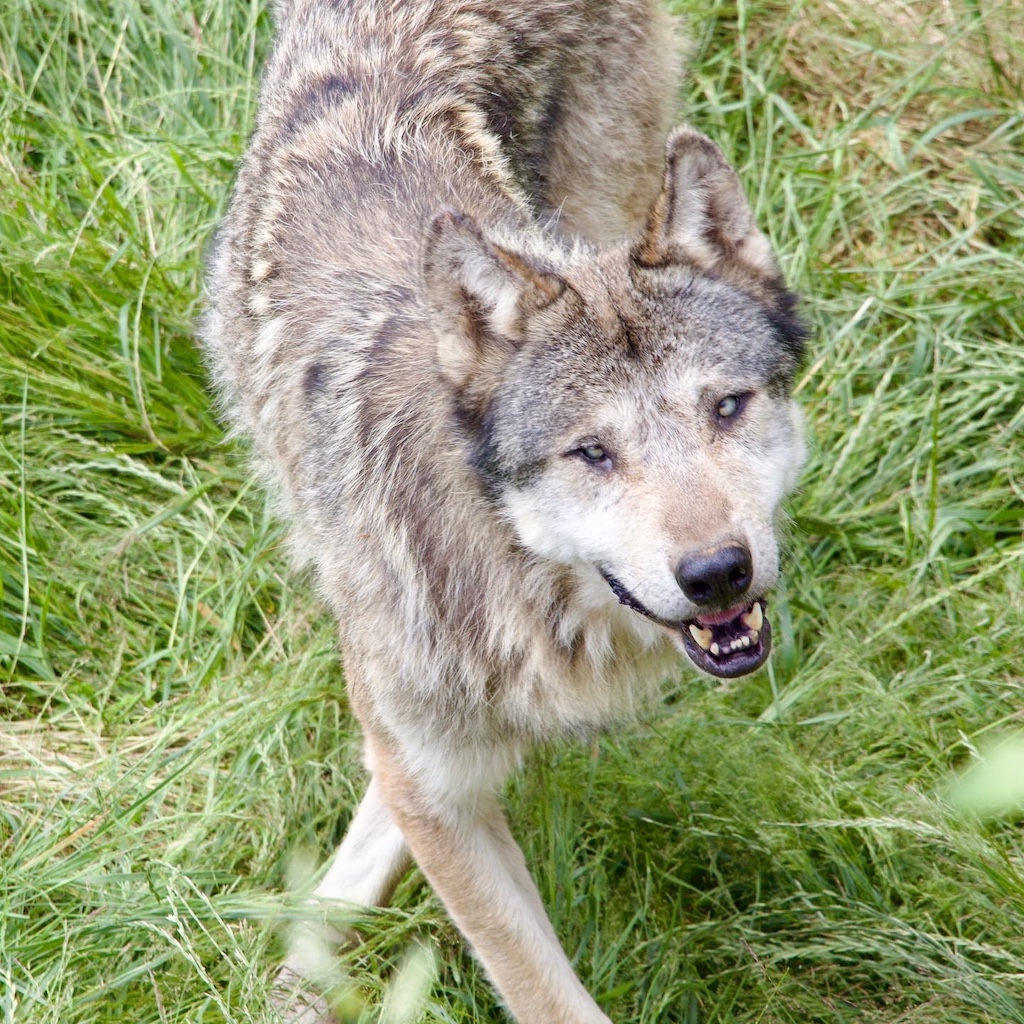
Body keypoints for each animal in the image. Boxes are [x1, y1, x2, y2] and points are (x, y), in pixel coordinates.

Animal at [200, 0, 806, 1021]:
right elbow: (537, 985)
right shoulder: (436, 789)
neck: (527, 595)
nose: (717, 572)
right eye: (592, 454)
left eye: (726, 407)